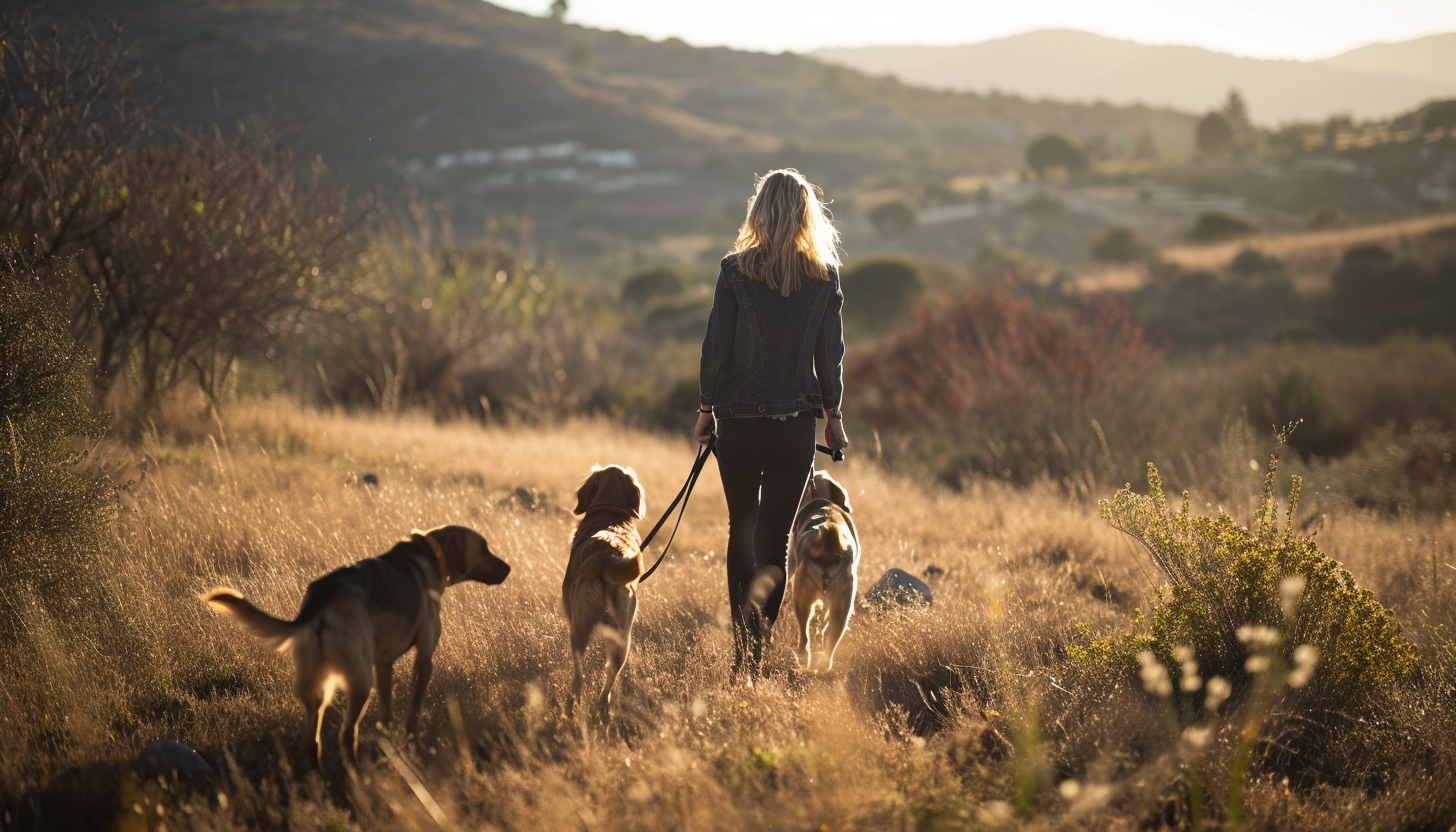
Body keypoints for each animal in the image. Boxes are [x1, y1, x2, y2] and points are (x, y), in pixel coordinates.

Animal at [199, 524, 506, 763]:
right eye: (484, 548)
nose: (509, 567)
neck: (430, 553)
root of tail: (322, 597)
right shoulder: (424, 658)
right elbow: (413, 711)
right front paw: (409, 743)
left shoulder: (383, 663)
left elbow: (387, 709)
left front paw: (389, 737)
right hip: (359, 682)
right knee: (346, 735)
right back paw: (359, 779)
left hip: (318, 688)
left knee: (313, 741)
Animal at [559, 466, 646, 719]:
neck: (611, 516)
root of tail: (608, 556)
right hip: (623, 635)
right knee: (610, 675)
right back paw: (603, 707)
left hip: (579, 628)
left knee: (579, 675)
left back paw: (571, 705)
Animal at [792, 472, 856, 673]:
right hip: (843, 606)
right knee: (830, 636)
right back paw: (822, 663)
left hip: (802, 598)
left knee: (805, 636)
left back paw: (803, 658)